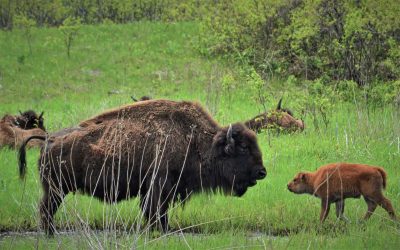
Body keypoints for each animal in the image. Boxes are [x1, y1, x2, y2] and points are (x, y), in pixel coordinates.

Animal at [20, 99, 268, 234]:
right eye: (243, 147)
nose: (262, 172)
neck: (194, 139)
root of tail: (49, 139)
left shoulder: (164, 190)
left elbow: (161, 214)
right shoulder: (158, 188)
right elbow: (155, 212)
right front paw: (159, 231)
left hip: (57, 190)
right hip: (56, 190)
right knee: (46, 211)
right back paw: (51, 236)